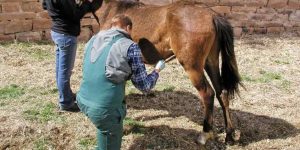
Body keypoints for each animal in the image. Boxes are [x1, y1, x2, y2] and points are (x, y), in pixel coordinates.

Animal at [97, 0, 243, 145]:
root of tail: (212, 16)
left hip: (193, 67)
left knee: (208, 93)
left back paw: (205, 133)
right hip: (211, 62)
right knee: (222, 93)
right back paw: (229, 135)